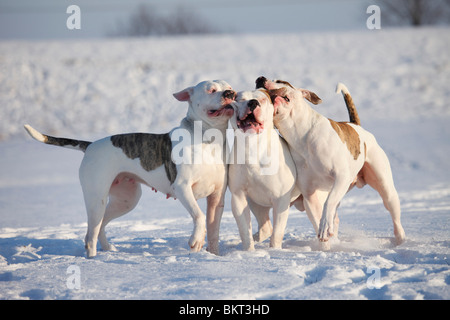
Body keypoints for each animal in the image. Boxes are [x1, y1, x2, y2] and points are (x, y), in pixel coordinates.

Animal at [24, 80, 236, 258]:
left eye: (229, 87)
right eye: (211, 90)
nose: (230, 93)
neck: (208, 139)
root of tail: (90, 145)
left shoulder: (217, 197)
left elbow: (213, 227)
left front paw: (214, 255)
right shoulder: (183, 188)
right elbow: (199, 215)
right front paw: (195, 241)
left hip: (126, 200)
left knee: (99, 226)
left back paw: (108, 250)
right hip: (96, 199)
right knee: (92, 234)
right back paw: (93, 260)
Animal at [255, 77, 406, 248]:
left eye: (280, 80)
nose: (260, 79)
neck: (301, 135)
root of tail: (356, 125)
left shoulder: (341, 177)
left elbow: (329, 203)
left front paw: (326, 226)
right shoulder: (309, 194)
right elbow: (317, 217)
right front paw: (325, 243)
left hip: (385, 188)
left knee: (393, 212)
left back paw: (401, 240)